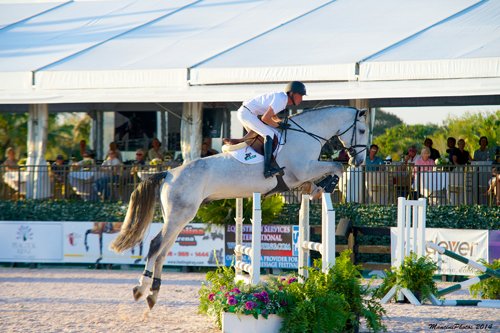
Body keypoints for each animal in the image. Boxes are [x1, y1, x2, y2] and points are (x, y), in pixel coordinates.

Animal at [111, 105, 370, 308]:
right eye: (363, 130)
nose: (359, 161)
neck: (307, 134)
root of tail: (168, 173)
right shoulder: (304, 170)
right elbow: (336, 167)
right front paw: (327, 184)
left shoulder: (302, 177)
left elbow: (326, 174)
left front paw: (318, 188)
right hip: (180, 215)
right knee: (156, 245)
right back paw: (141, 289)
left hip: (178, 218)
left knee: (163, 252)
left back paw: (153, 294)